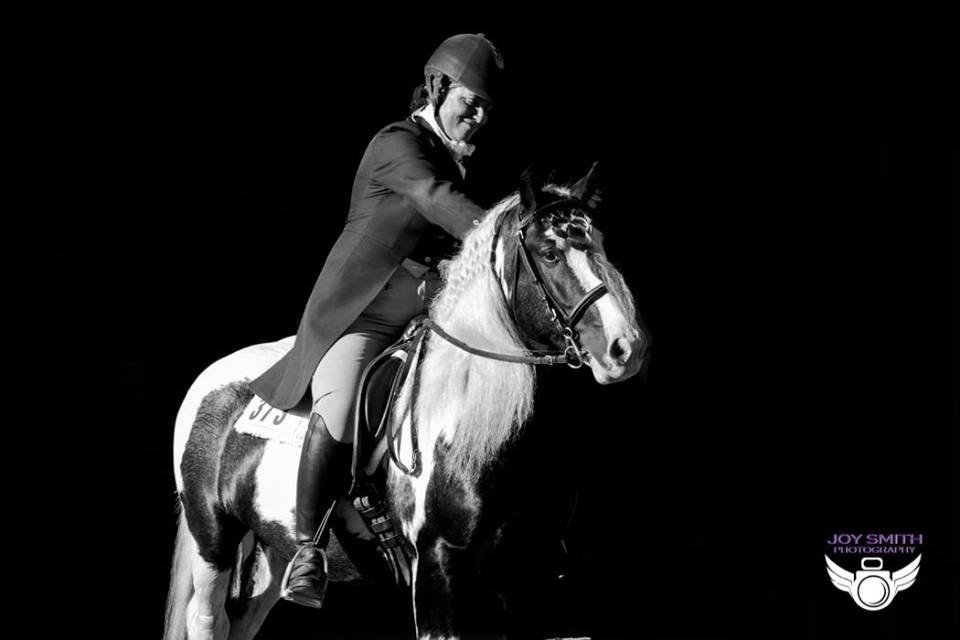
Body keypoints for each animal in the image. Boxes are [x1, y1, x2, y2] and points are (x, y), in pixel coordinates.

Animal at [163, 167, 648, 640]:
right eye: (550, 254)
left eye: (601, 244)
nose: (626, 349)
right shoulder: (439, 568)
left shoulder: (527, 580)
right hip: (212, 536)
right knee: (208, 619)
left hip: (273, 547)